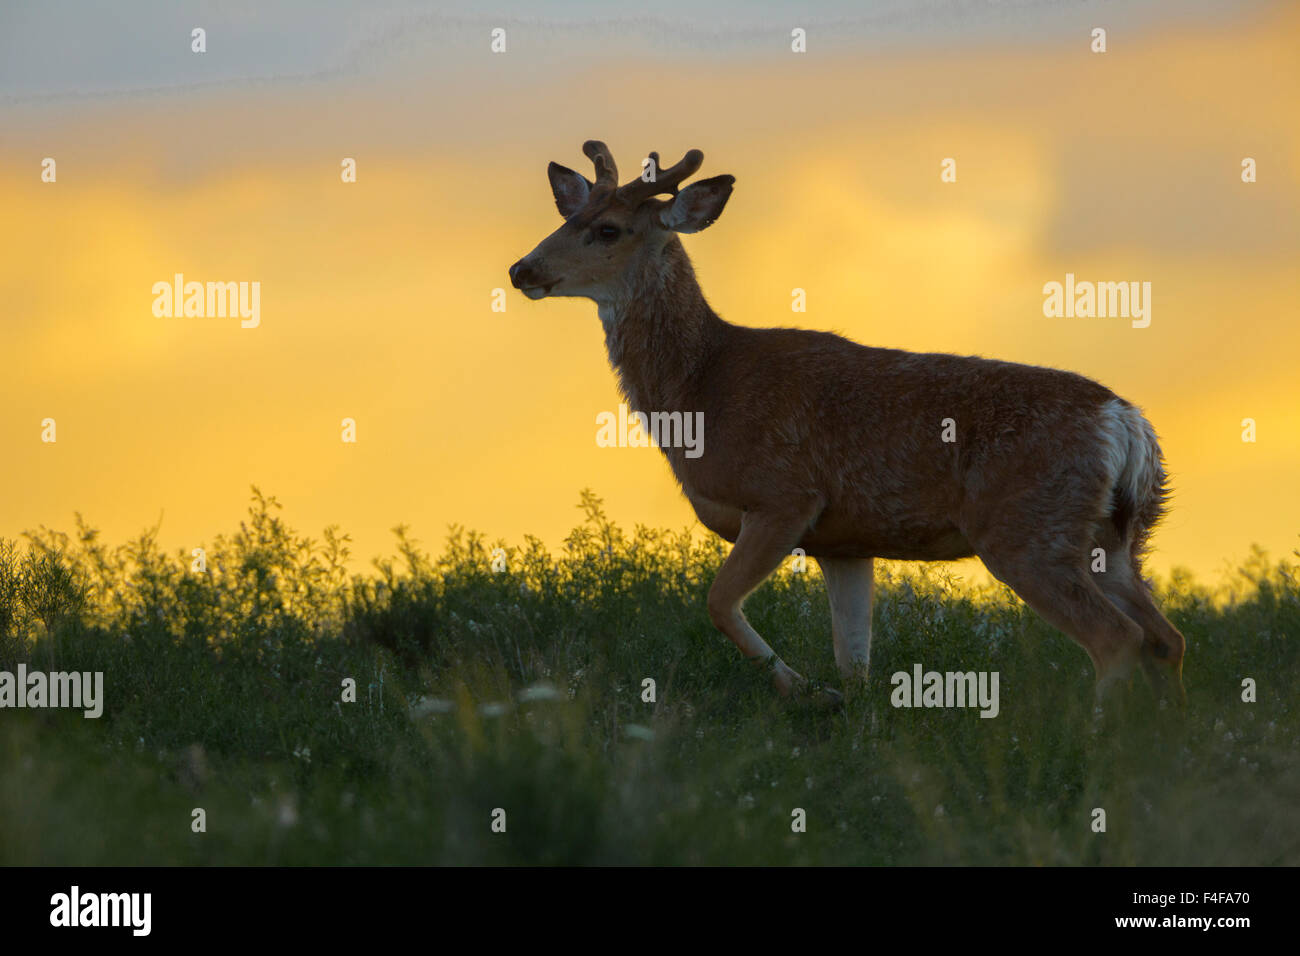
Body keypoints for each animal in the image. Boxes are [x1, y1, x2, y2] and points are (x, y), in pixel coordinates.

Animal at [506, 141, 1190, 712]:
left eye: (607, 229)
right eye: (566, 216)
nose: (522, 269)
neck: (701, 392)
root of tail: (1125, 423)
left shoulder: (785, 495)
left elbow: (719, 602)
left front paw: (804, 691)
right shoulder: (846, 541)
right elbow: (855, 660)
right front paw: (846, 711)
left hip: (1028, 527)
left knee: (1118, 637)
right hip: (1115, 538)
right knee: (1168, 637)